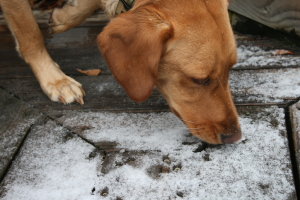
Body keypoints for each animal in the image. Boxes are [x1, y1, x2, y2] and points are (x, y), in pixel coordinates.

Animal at [1, 0, 241, 144]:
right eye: (200, 80)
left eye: (230, 69)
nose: (236, 137)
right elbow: (30, 34)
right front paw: (55, 80)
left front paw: (65, 16)